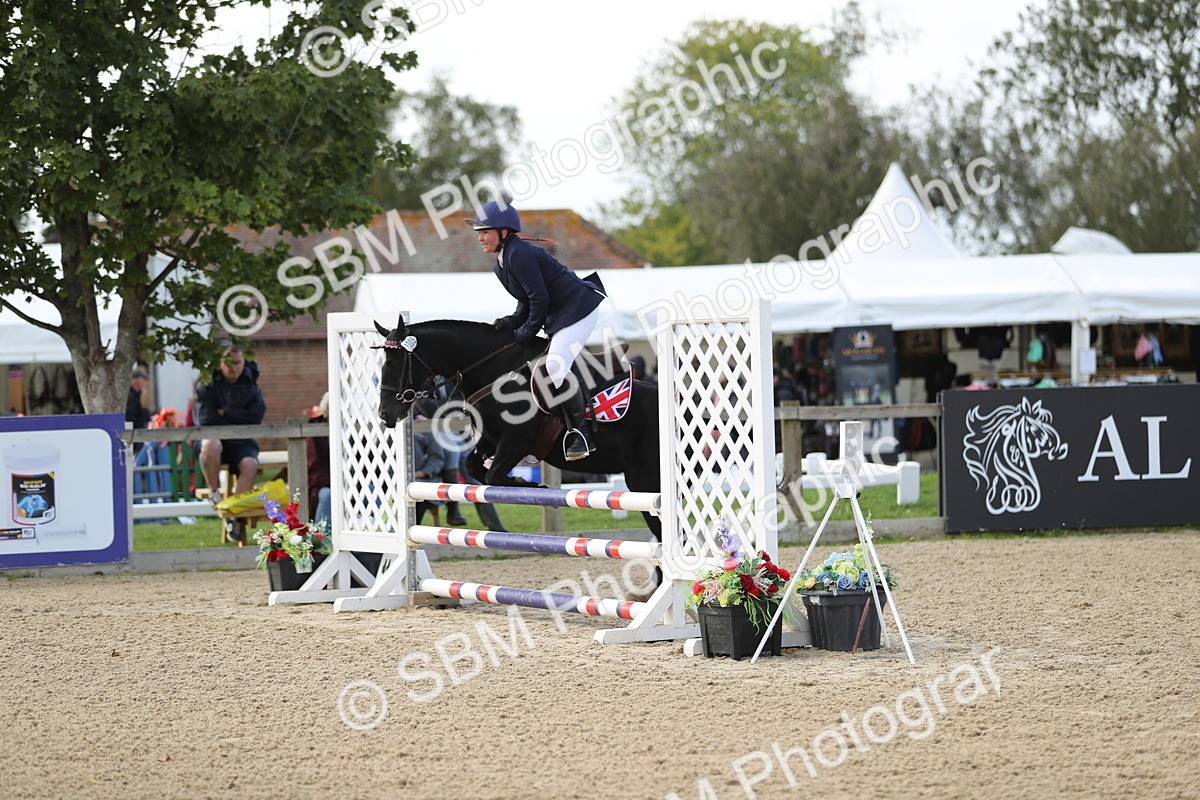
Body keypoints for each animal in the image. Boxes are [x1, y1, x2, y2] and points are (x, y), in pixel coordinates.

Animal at [375, 316, 662, 539]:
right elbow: (474, 467)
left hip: (646, 481)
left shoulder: (517, 441)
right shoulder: (491, 440)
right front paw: (522, 483)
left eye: (395, 364)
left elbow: (493, 476)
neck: (495, 372)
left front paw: (529, 485)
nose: (386, 414)